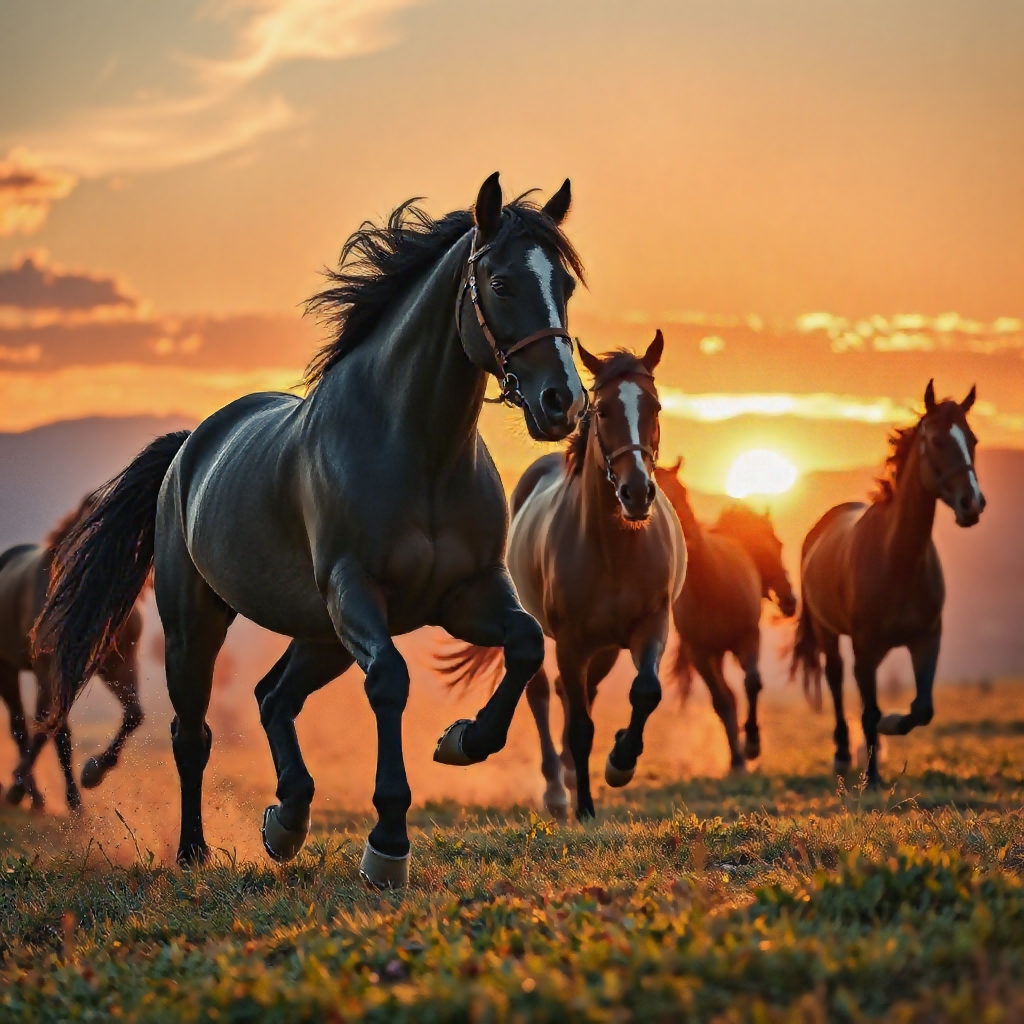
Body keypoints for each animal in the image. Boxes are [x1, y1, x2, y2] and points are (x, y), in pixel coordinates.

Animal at [0, 497, 144, 812]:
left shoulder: (117, 665)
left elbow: (134, 714)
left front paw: (93, 773)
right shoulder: (50, 673)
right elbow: (56, 733)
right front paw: (72, 799)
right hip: (7, 671)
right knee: (21, 727)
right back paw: (31, 794)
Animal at [32, 174, 588, 886]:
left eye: (564, 284)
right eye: (499, 282)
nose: (562, 402)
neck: (420, 451)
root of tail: (190, 448)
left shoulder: (467, 594)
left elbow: (523, 644)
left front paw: (462, 740)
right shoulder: (358, 593)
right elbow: (390, 683)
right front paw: (387, 844)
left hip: (322, 635)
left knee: (273, 698)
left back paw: (287, 820)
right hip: (199, 626)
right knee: (193, 734)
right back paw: (194, 851)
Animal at [440, 335, 687, 820]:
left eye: (655, 407)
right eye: (603, 410)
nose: (636, 492)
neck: (614, 551)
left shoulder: (651, 626)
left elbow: (645, 692)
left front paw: (620, 762)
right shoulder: (572, 643)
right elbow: (579, 727)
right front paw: (585, 807)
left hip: (605, 648)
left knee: (580, 693)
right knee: (541, 695)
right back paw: (558, 789)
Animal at [653, 460, 796, 771]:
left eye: (681, 492)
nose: (791, 601)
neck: (711, 584)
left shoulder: (748, 636)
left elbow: (752, 683)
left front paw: (752, 744)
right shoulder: (700, 652)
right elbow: (722, 701)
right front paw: (738, 757)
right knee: (727, 698)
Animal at [791, 381, 985, 786]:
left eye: (972, 439)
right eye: (937, 440)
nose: (972, 503)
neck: (897, 561)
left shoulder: (927, 639)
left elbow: (922, 708)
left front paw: (892, 724)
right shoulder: (865, 647)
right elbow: (868, 710)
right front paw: (873, 777)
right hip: (829, 634)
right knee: (835, 681)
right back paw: (842, 755)